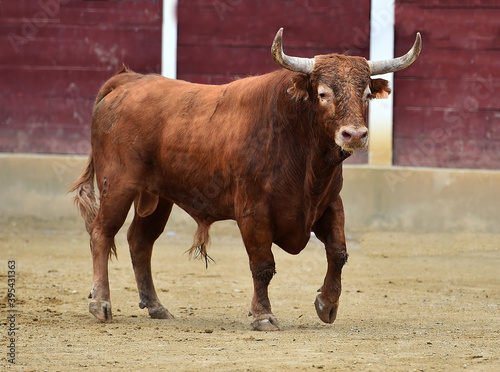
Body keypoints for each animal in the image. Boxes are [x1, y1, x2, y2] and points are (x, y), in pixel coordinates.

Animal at [70, 29, 422, 332]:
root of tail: (128, 81)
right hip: (118, 184)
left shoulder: (329, 204)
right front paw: (263, 315)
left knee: (140, 241)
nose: (355, 135)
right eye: (323, 93)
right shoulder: (253, 212)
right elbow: (263, 265)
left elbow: (338, 252)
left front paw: (327, 304)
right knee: (102, 232)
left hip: (158, 197)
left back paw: (156, 306)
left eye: (367, 94)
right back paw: (101, 303)